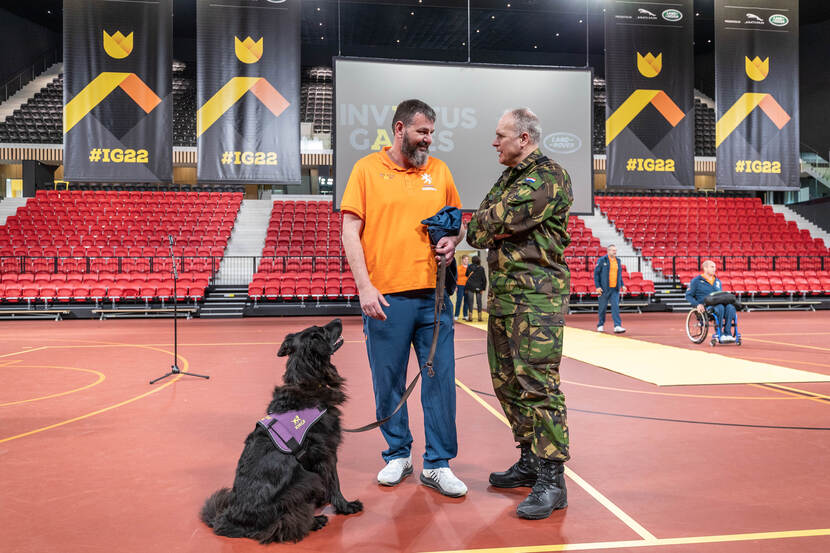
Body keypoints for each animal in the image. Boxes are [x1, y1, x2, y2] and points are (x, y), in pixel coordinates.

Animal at [200, 316, 362, 540]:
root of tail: (230, 520)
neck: (307, 380)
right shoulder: (327, 452)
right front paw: (346, 506)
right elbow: (335, 483)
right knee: (283, 524)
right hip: (305, 481)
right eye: (322, 330)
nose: (338, 319)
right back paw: (315, 521)